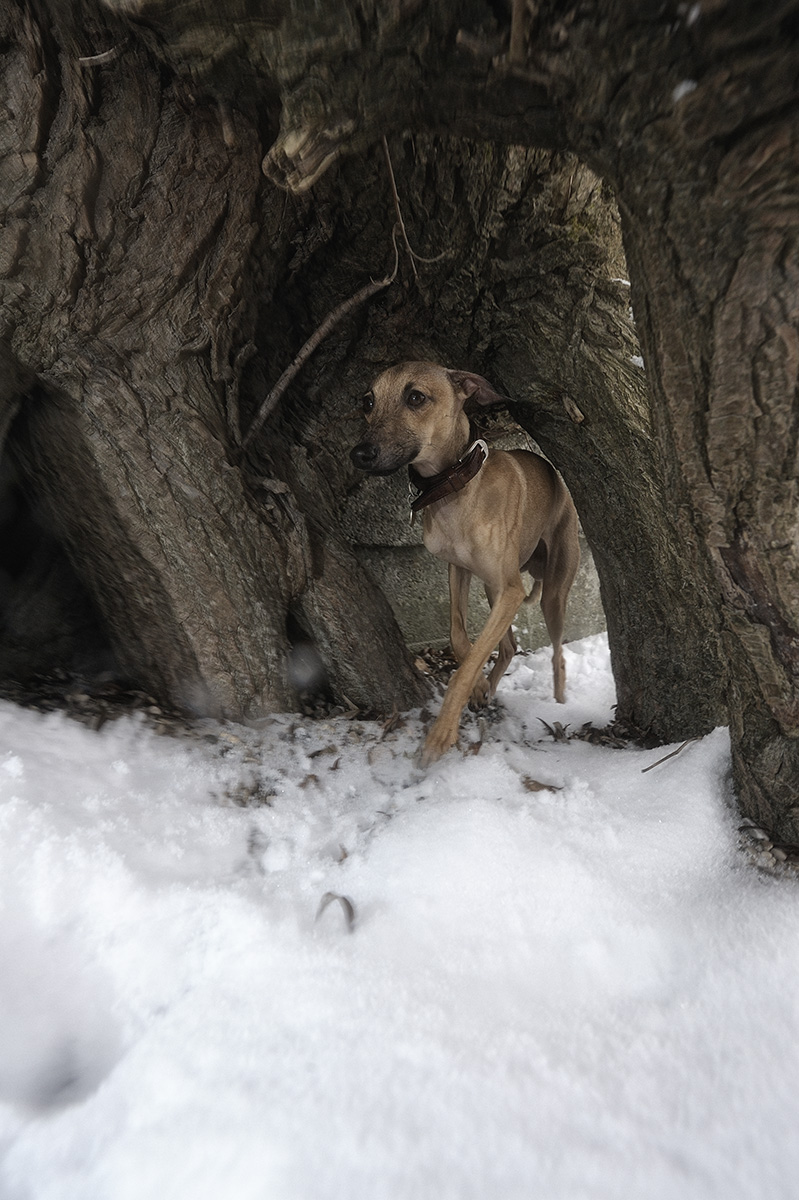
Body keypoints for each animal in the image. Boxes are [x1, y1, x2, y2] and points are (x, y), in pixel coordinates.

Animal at [347, 360, 578, 763]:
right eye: (367, 401)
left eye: (415, 397)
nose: (360, 454)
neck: (458, 486)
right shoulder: (459, 570)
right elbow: (460, 639)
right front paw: (478, 686)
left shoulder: (511, 591)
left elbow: (465, 665)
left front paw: (441, 734)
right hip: (492, 587)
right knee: (508, 646)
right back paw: (489, 688)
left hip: (550, 592)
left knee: (557, 654)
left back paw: (559, 698)